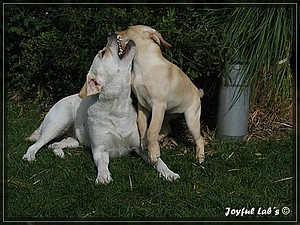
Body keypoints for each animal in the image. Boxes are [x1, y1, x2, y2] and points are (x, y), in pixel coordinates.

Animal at [23, 33, 179, 185]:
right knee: (37, 144)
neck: (117, 108)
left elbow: (159, 161)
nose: (111, 34)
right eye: (103, 53)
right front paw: (103, 176)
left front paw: (169, 173)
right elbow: (103, 164)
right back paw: (29, 156)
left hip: (73, 140)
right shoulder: (100, 150)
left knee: (56, 144)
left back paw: (58, 152)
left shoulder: (140, 147)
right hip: (57, 125)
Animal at [115, 25, 204, 164]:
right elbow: (142, 124)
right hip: (168, 113)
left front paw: (153, 153)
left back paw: (200, 157)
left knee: (200, 138)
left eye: (129, 28)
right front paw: (145, 143)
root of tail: (198, 93)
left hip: (191, 119)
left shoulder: (158, 105)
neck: (142, 65)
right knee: (167, 128)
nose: (112, 33)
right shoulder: (142, 105)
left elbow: (152, 129)